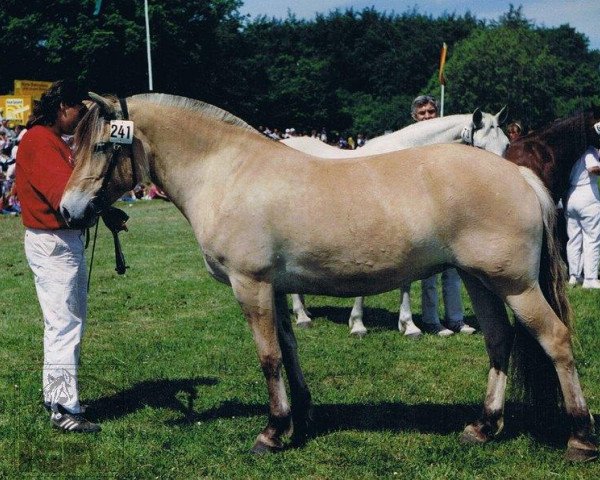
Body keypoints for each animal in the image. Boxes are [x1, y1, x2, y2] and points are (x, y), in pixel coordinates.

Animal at [284, 109, 508, 336]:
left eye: (506, 144)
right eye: (480, 148)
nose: (500, 189)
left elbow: (406, 283)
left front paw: (409, 326)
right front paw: (358, 324)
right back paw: (302, 316)